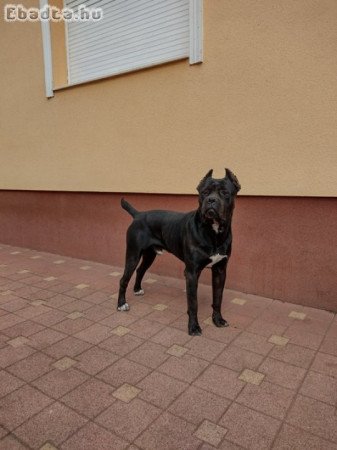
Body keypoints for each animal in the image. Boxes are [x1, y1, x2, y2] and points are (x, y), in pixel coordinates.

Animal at [117, 169, 240, 334]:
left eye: (225, 192)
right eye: (204, 192)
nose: (211, 200)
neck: (213, 232)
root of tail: (138, 215)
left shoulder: (220, 270)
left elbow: (217, 298)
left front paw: (218, 319)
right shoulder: (192, 272)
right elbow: (193, 303)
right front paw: (194, 327)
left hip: (150, 255)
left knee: (140, 270)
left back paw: (137, 289)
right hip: (133, 255)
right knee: (124, 279)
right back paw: (121, 304)